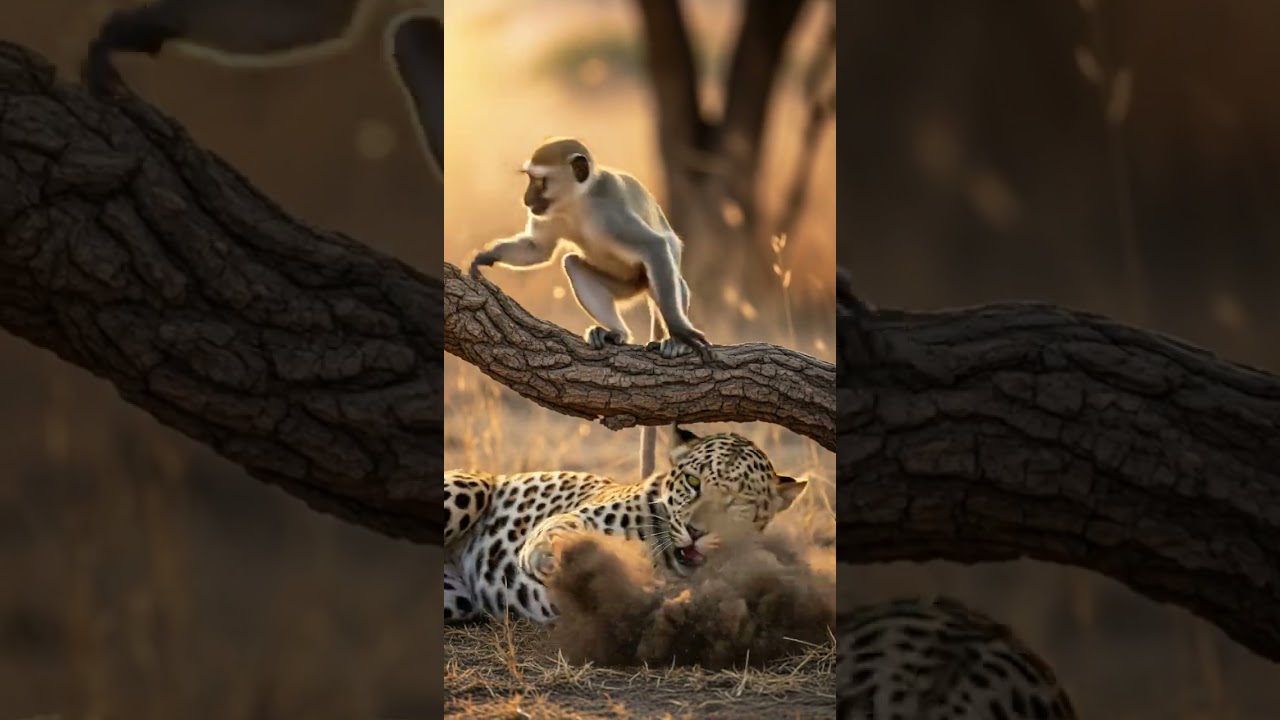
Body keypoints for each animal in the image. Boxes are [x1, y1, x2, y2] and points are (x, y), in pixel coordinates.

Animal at [443, 425, 806, 625]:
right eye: (693, 482)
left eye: (739, 500)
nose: (695, 531)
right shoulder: (585, 514)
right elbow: (560, 526)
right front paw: (545, 555)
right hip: (469, 489)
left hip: (456, 600)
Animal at [468, 137, 710, 479]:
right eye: (530, 179)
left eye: (540, 181)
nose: (526, 199)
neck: (579, 202)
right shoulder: (553, 216)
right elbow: (537, 249)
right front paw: (487, 255)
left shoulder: (612, 214)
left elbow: (656, 245)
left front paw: (679, 333)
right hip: (626, 286)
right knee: (572, 263)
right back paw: (615, 333)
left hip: (646, 282)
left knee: (670, 275)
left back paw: (672, 339)